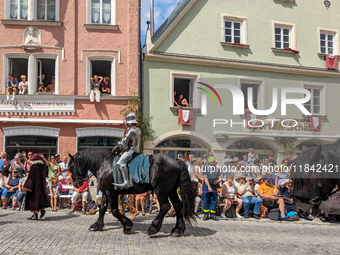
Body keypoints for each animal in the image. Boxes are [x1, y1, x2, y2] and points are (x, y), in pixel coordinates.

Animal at [69, 149, 197, 237]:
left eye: (71, 167)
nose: (77, 184)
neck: (103, 164)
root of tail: (175, 160)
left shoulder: (111, 192)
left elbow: (114, 210)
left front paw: (127, 225)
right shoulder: (105, 192)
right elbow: (102, 209)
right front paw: (97, 225)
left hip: (161, 190)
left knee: (165, 206)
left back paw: (153, 228)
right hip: (171, 190)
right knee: (177, 205)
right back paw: (177, 230)